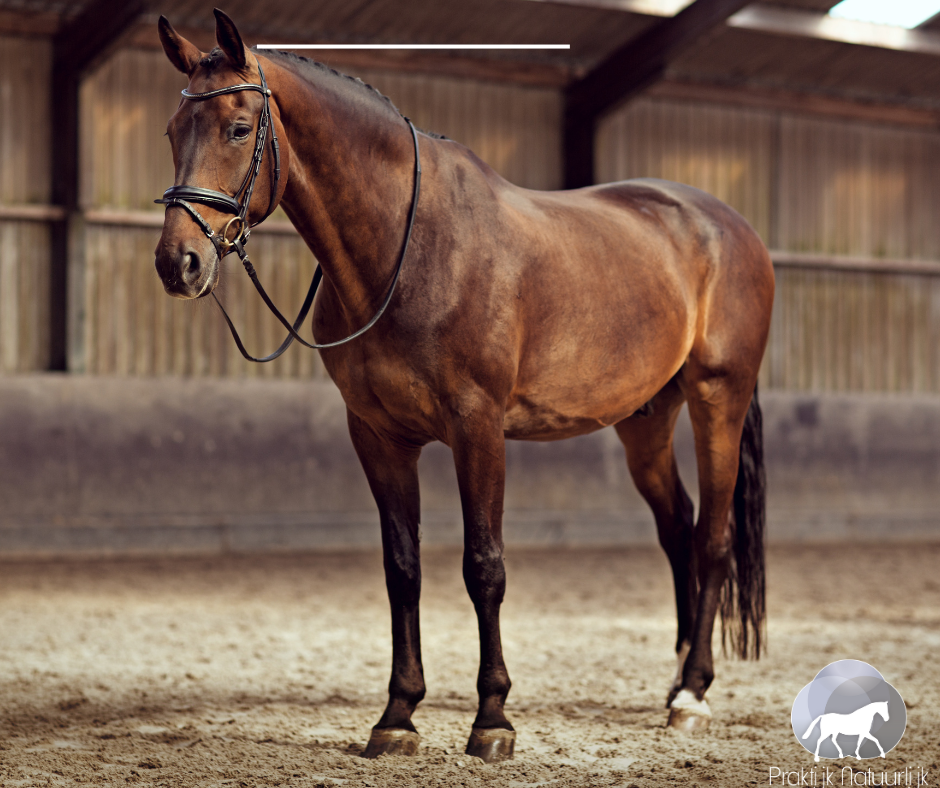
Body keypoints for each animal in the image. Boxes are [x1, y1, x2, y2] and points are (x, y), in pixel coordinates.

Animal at [153, 10, 774, 763]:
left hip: (719, 400)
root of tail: (727, 226)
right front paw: (397, 715)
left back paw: (694, 695)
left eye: (239, 128)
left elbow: (484, 567)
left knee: (712, 539)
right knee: (678, 531)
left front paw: (492, 719)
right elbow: (402, 569)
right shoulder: (379, 436)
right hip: (646, 421)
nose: (178, 262)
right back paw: (676, 679)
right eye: (172, 131)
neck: (409, 245)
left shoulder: (477, 428)